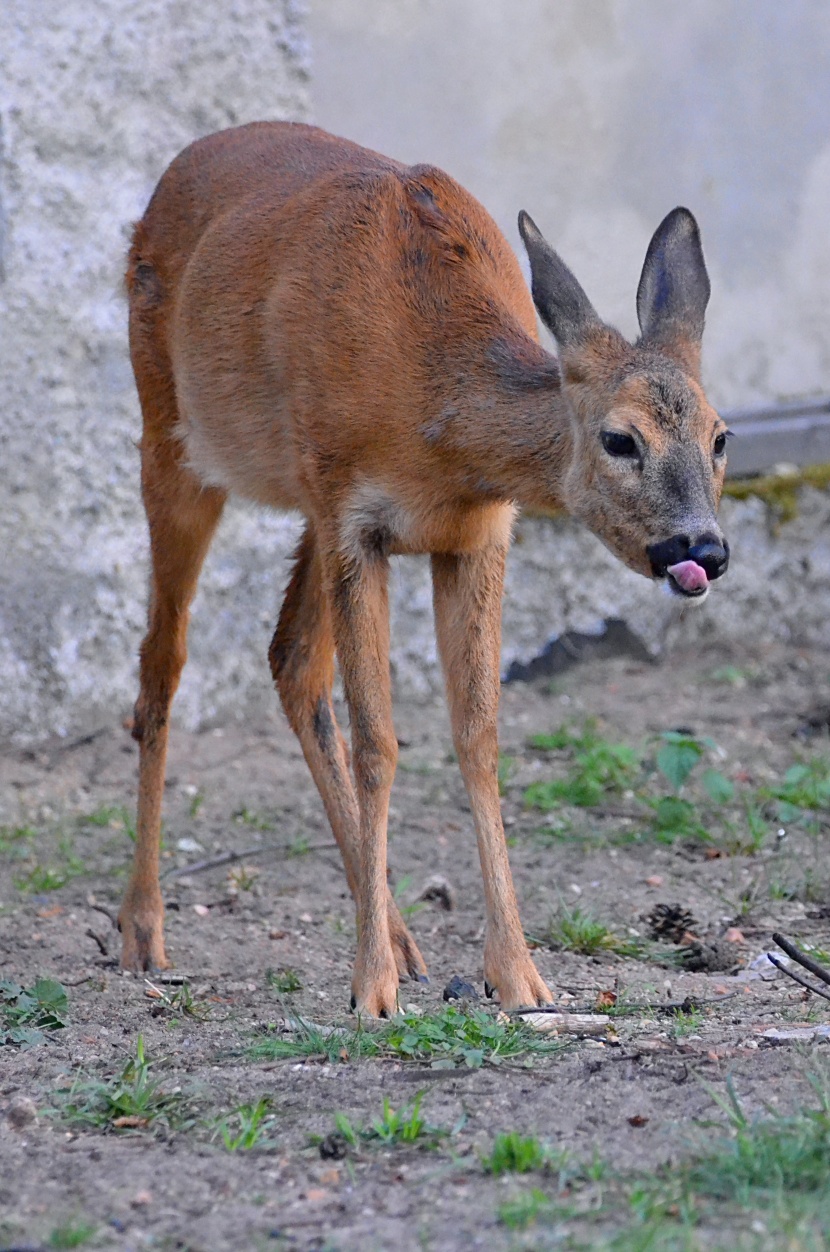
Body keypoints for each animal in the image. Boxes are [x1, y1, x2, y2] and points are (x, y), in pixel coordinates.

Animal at [120, 119, 731, 1016]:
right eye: (620, 439)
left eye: (721, 436)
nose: (702, 549)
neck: (436, 423)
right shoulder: (355, 517)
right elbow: (380, 743)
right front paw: (369, 988)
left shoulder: (474, 535)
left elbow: (477, 734)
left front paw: (519, 975)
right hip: (173, 440)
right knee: (161, 665)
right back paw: (142, 929)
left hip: (301, 504)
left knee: (290, 660)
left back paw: (404, 938)